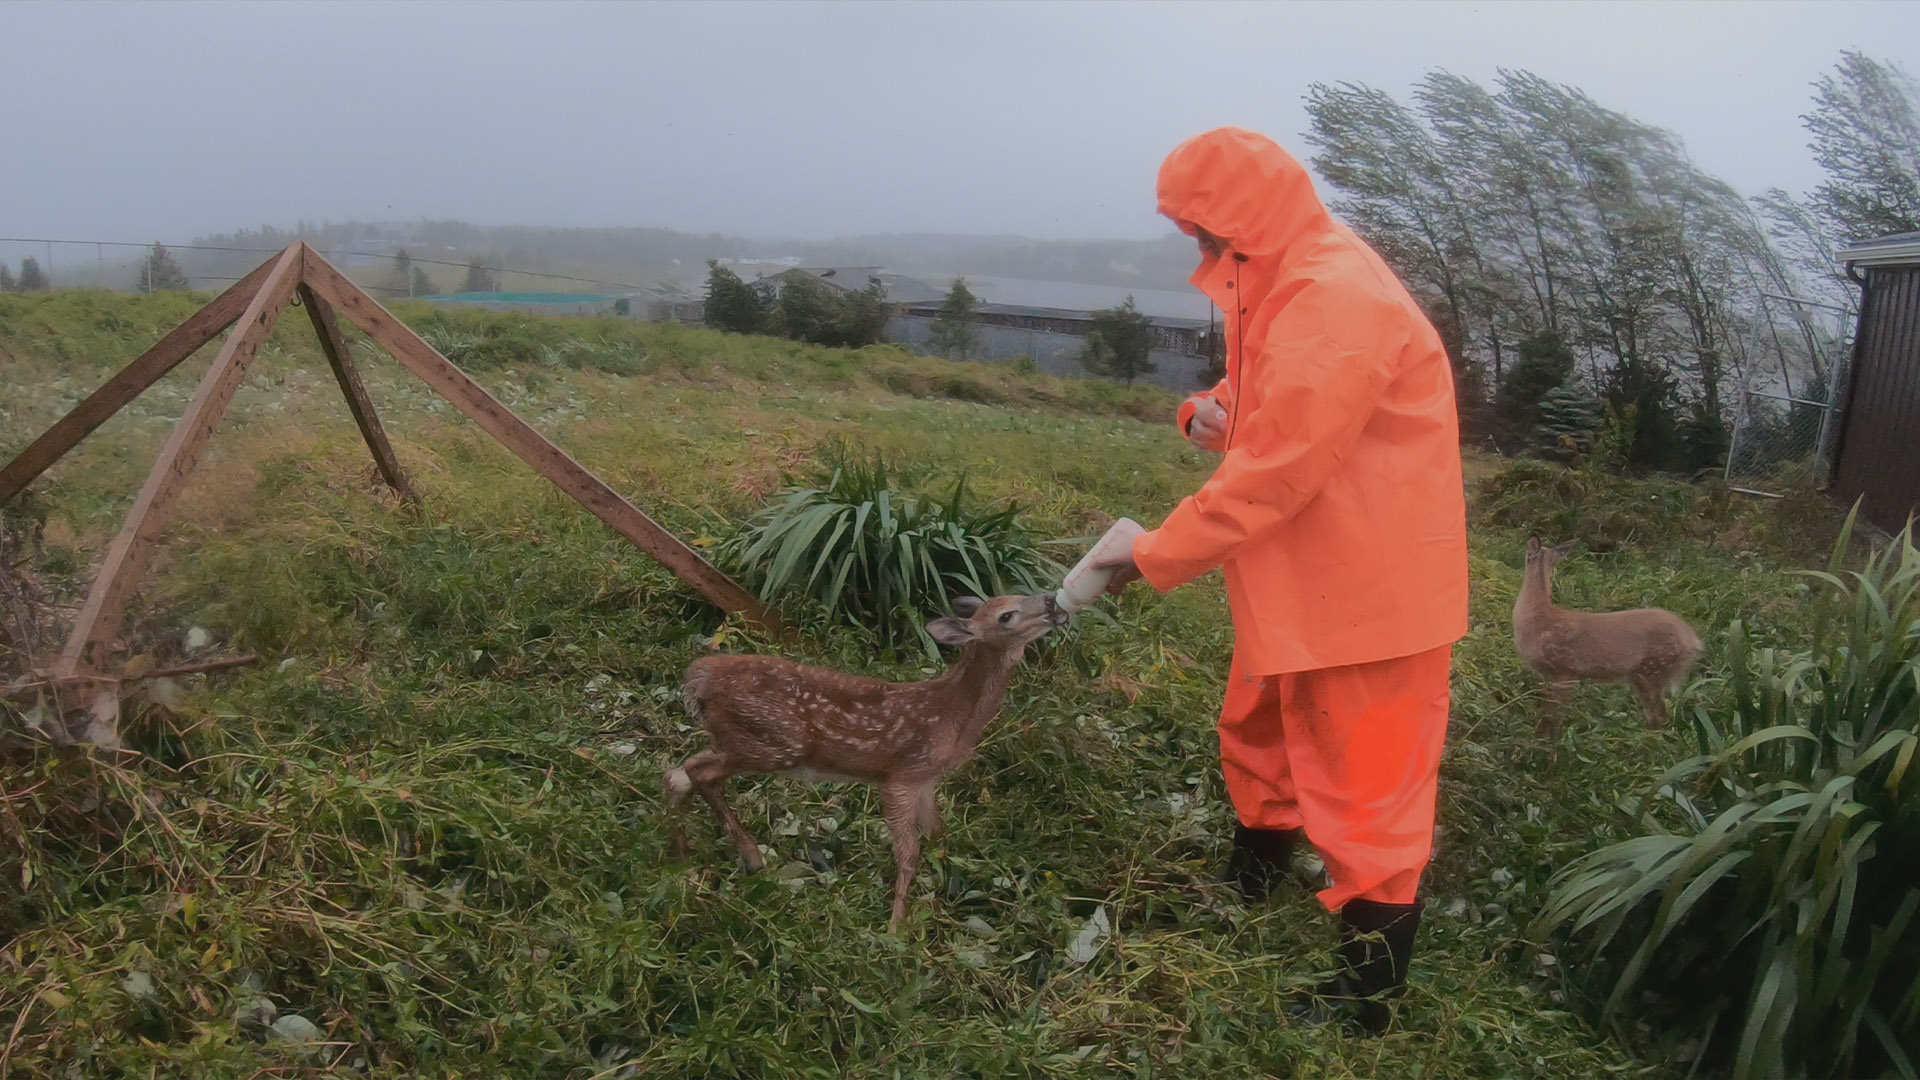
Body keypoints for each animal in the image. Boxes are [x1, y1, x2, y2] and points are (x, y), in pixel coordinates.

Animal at [664, 588, 1067, 926]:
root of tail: (699, 677)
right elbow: (908, 853)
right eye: (1007, 615)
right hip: (774, 741)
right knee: (698, 773)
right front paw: (896, 928)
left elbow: (937, 832)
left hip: (736, 738)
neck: (951, 718)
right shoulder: (901, 775)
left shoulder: (927, 779)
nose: (1052, 601)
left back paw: (683, 860)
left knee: (678, 774)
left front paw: (949, 885)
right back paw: (750, 856)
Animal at [1512, 538, 1697, 737]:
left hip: (1652, 669)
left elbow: (1552, 716)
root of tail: (1694, 640)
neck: (1537, 617)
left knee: (1659, 713)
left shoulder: (1565, 668)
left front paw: (1546, 741)